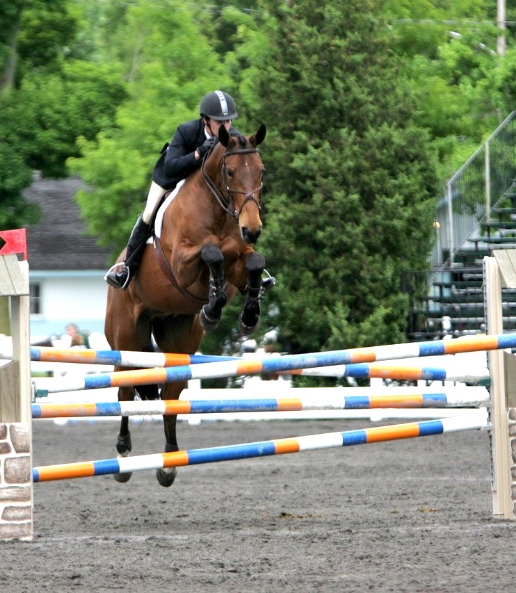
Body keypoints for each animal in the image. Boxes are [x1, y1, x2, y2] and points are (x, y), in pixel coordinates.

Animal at [103, 123, 268, 486]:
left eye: (261, 171)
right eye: (230, 172)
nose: (252, 229)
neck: (218, 211)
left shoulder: (239, 258)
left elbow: (252, 262)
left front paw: (246, 314)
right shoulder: (180, 263)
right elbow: (211, 253)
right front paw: (212, 307)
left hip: (178, 342)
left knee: (170, 397)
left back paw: (168, 464)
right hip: (126, 342)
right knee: (125, 393)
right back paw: (122, 457)